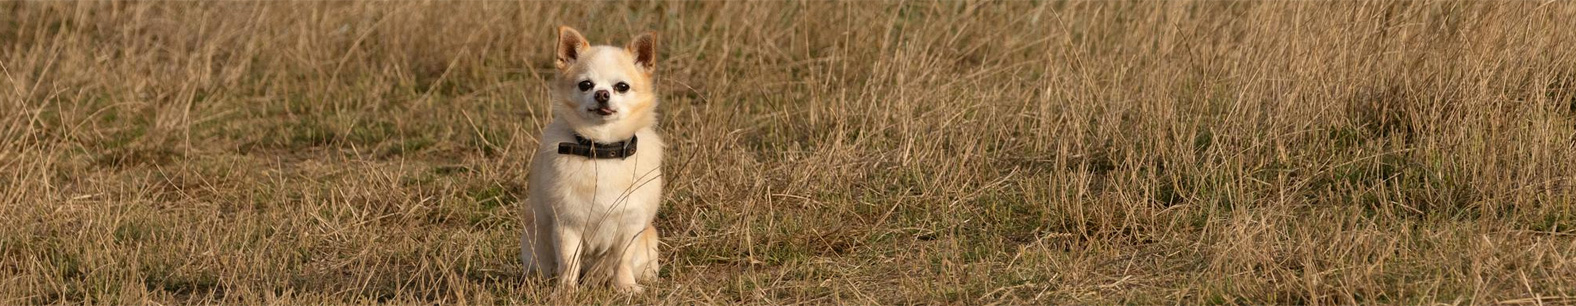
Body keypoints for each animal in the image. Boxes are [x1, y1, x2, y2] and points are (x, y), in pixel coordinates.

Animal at [520, 25, 661, 291]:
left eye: (622, 87)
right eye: (585, 85)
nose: (602, 94)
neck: (602, 149)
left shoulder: (631, 227)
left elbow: (622, 260)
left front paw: (626, 287)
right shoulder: (567, 225)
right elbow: (569, 262)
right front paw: (566, 291)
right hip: (533, 238)